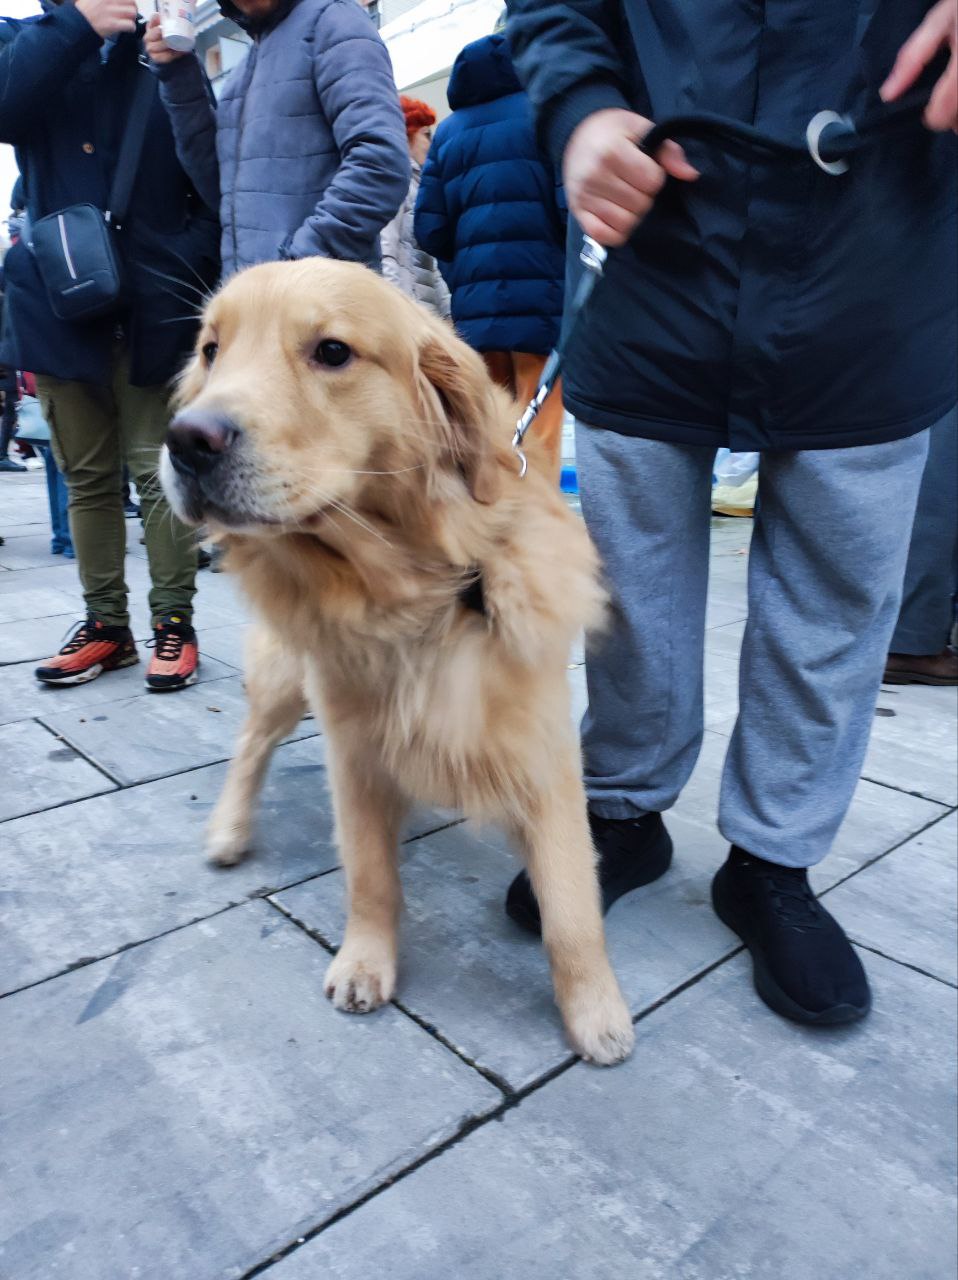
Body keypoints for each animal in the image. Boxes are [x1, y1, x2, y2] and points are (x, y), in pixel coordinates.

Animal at [160, 254, 632, 1064]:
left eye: (332, 352)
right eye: (211, 350)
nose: (186, 439)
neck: (413, 596)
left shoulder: (543, 756)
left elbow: (572, 905)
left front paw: (596, 1012)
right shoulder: (354, 752)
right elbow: (370, 875)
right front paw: (365, 962)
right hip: (287, 677)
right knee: (251, 743)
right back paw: (228, 830)